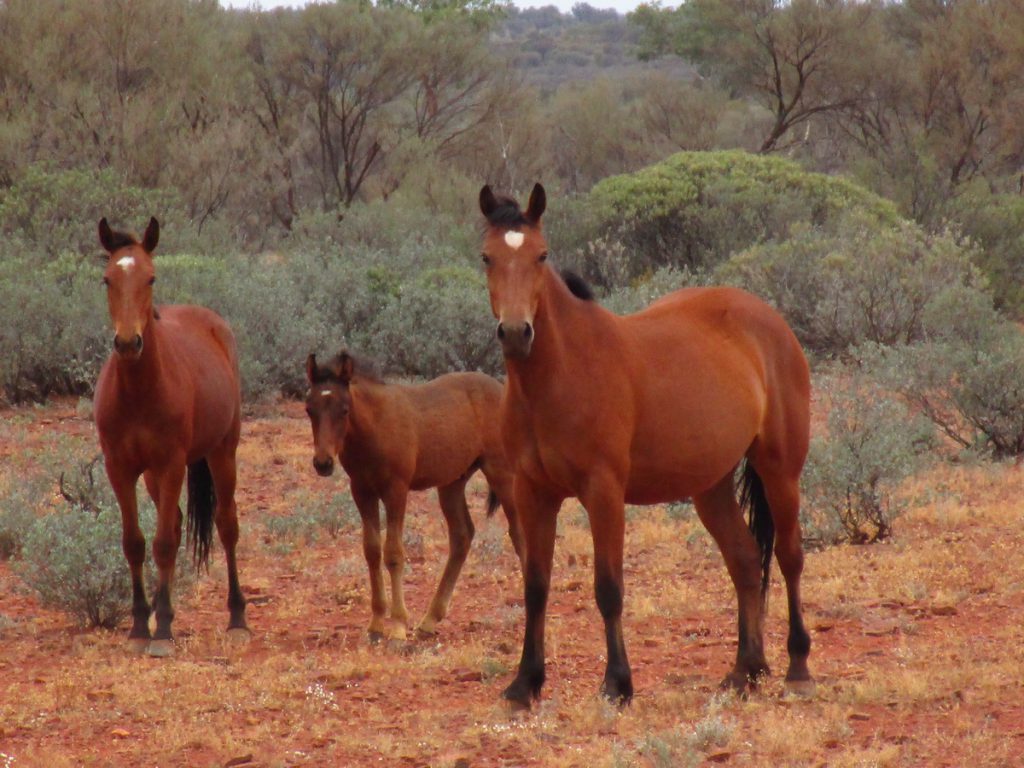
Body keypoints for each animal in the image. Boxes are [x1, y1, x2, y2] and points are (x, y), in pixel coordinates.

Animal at [94, 219, 249, 659]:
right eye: (107, 279)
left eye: (151, 277)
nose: (128, 342)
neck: (138, 391)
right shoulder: (121, 469)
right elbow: (135, 543)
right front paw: (140, 626)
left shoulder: (171, 464)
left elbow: (162, 543)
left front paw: (161, 632)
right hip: (153, 477)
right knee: (179, 525)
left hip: (222, 453)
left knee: (226, 525)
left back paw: (237, 618)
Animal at [303, 352, 524, 638]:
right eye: (309, 409)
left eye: (344, 409)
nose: (323, 463)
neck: (374, 429)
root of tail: (499, 388)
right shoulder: (361, 491)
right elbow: (371, 550)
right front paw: (376, 624)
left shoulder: (396, 491)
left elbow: (394, 553)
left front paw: (398, 625)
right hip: (452, 483)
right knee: (462, 536)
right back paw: (430, 619)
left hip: (502, 474)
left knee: (518, 535)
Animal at [475, 185, 811, 708]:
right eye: (487, 257)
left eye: (541, 255)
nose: (515, 333)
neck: (562, 374)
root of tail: (769, 319)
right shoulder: (532, 493)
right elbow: (535, 586)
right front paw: (524, 683)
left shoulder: (604, 492)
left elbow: (608, 588)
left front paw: (617, 683)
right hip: (710, 485)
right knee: (744, 559)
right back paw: (745, 670)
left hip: (780, 469)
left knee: (789, 556)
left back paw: (797, 667)